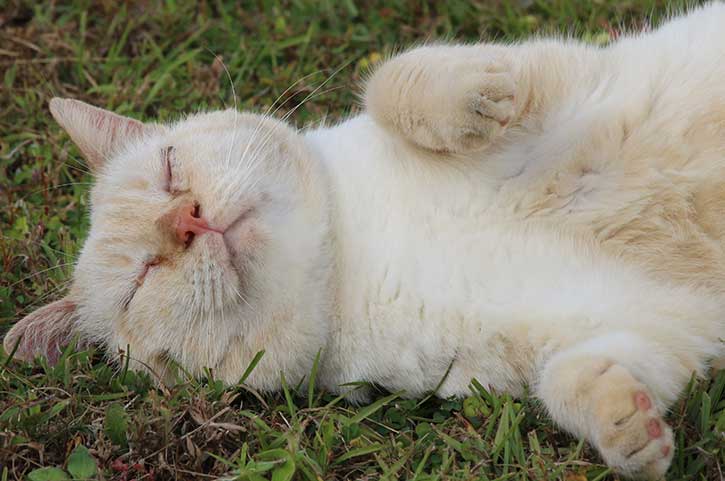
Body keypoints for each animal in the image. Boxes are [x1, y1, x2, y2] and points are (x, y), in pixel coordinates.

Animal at [5, 3, 725, 479]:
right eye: (141, 279)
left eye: (169, 167)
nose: (189, 220)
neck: (355, 251)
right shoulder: (648, 326)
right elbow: (572, 380)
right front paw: (628, 428)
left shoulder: (565, 74)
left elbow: (390, 80)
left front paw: (472, 97)